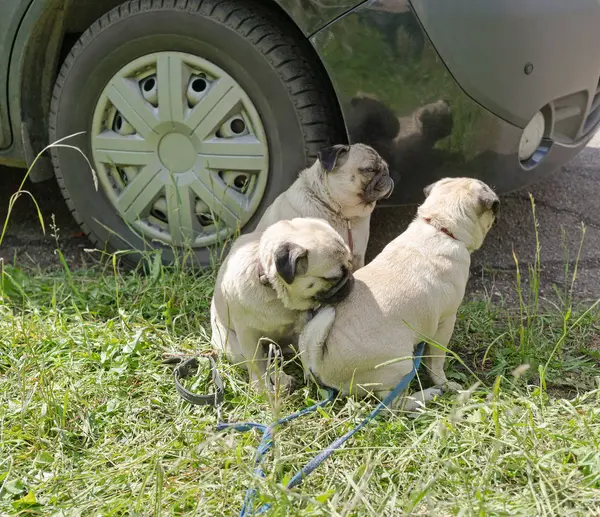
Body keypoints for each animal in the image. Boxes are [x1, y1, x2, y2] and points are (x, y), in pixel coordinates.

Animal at [211, 217, 354, 392]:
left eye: (350, 263)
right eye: (332, 278)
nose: (351, 279)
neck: (276, 293)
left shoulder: (303, 323)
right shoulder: (247, 334)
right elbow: (256, 364)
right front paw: (260, 389)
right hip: (235, 348)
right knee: (265, 360)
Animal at [298, 179, 500, 410]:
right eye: (495, 206)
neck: (439, 226)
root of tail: (320, 363)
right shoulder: (446, 322)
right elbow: (436, 361)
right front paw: (444, 383)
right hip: (401, 364)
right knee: (392, 402)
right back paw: (426, 395)